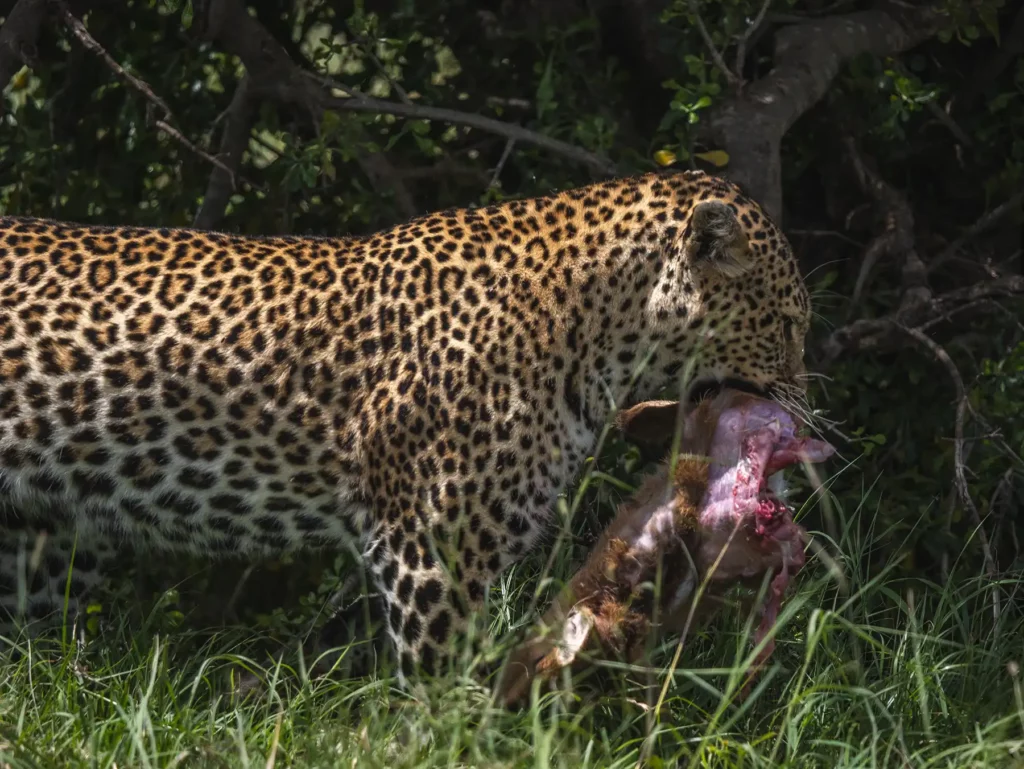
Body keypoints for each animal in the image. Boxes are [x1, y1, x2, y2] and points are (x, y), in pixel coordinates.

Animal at [0, 169, 811, 685]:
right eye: (786, 326)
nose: (804, 412)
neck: (598, 335)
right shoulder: (430, 548)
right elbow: (440, 686)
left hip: (42, 542)